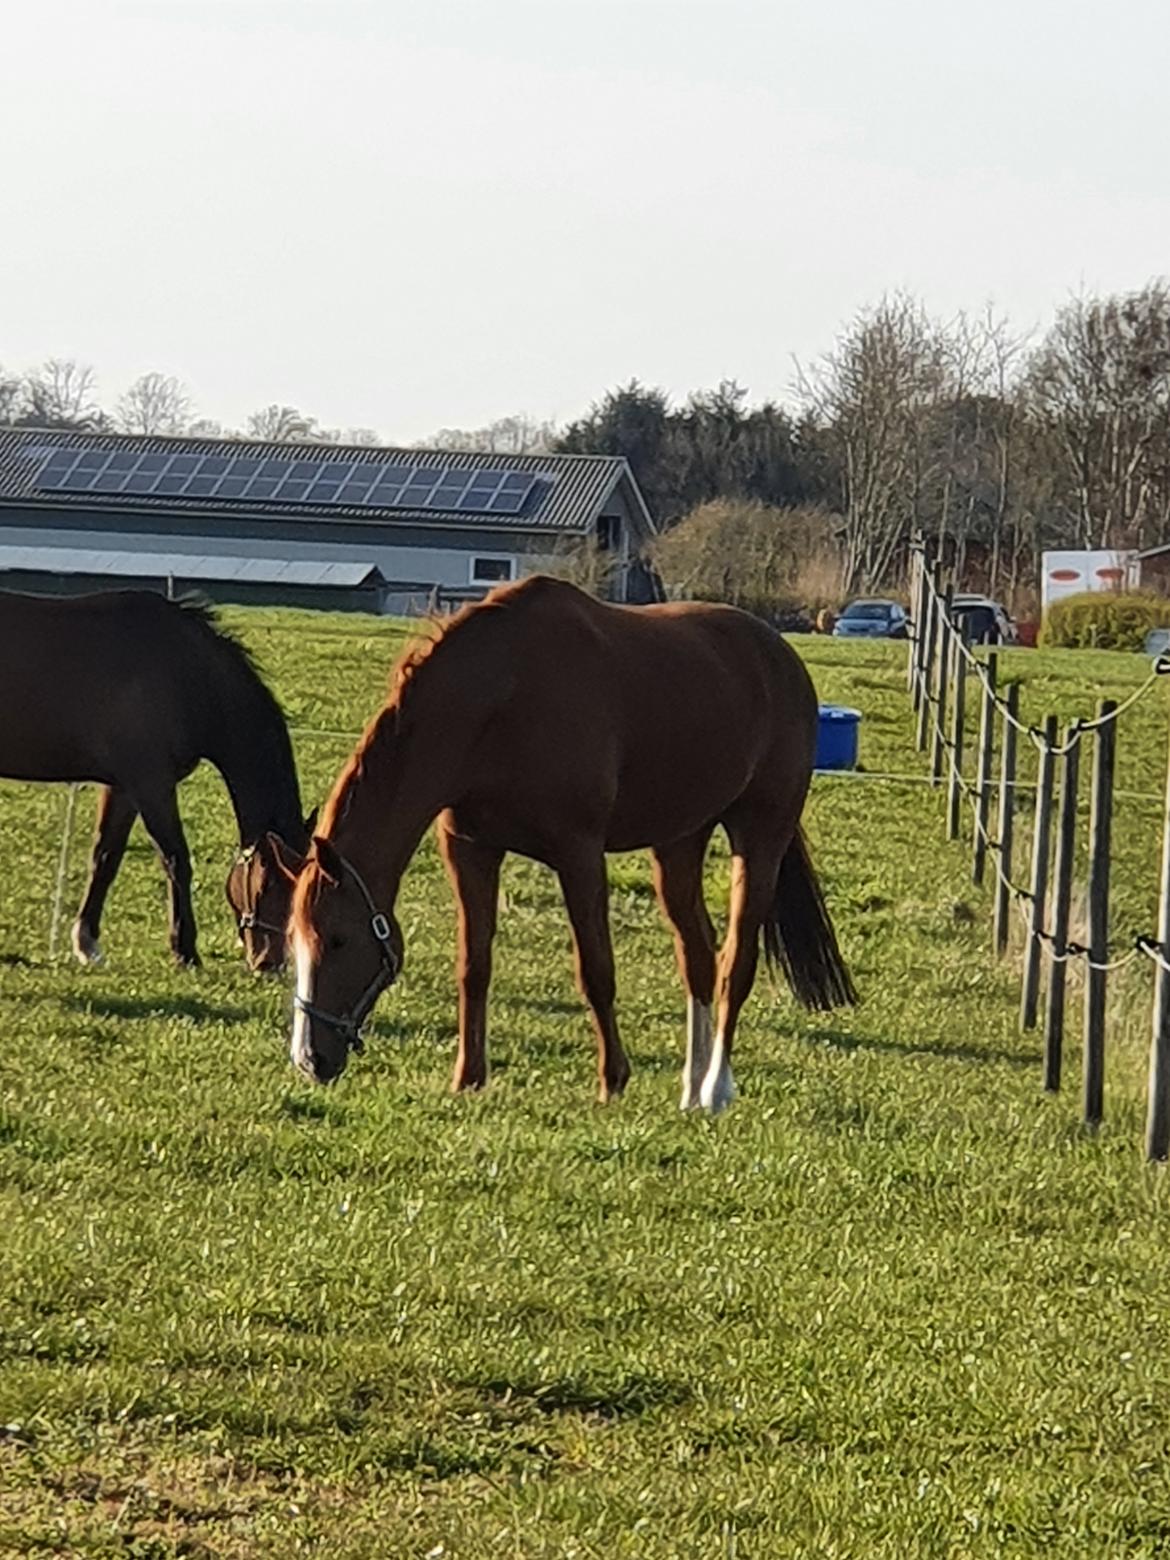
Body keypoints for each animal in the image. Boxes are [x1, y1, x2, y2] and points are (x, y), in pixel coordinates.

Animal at [0, 589, 312, 967]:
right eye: (269, 885)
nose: (270, 962)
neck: (185, 673)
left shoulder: (123, 788)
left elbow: (105, 857)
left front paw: (87, 942)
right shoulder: (152, 786)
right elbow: (176, 859)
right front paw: (185, 949)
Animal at [283, 574, 854, 1110]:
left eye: (339, 939)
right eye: (295, 940)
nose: (311, 1059)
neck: (503, 698)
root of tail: (781, 657)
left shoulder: (578, 854)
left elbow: (596, 970)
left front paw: (612, 1079)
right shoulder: (470, 849)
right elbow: (474, 966)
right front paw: (468, 1078)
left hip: (760, 834)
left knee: (736, 961)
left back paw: (715, 1090)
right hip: (678, 844)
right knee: (698, 956)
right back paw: (690, 1090)